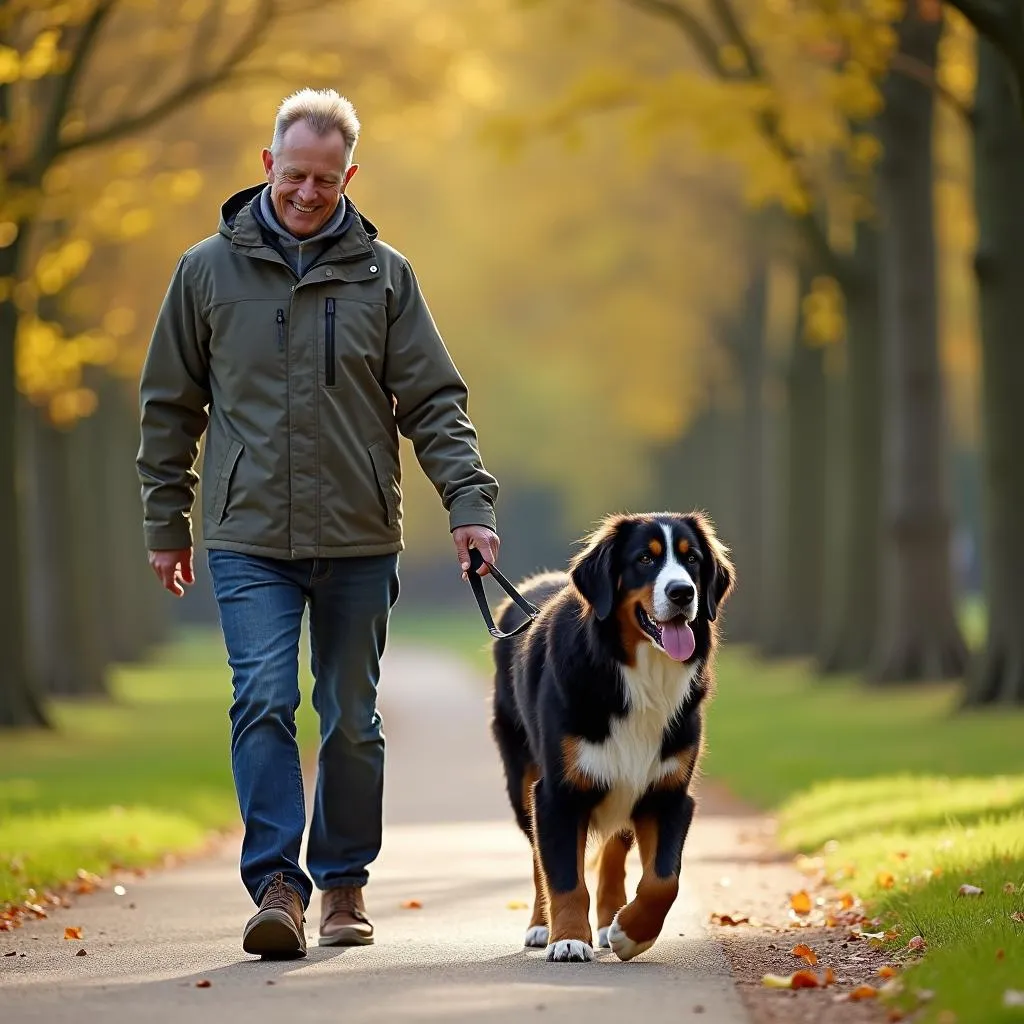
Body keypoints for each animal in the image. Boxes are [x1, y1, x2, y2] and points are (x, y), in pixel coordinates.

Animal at [485, 516, 729, 962]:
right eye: (645, 558)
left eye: (692, 559)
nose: (682, 592)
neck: (639, 677)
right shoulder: (556, 793)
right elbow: (564, 876)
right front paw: (567, 939)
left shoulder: (668, 791)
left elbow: (664, 880)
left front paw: (630, 933)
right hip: (521, 780)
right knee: (538, 859)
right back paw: (541, 926)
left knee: (614, 850)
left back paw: (608, 919)